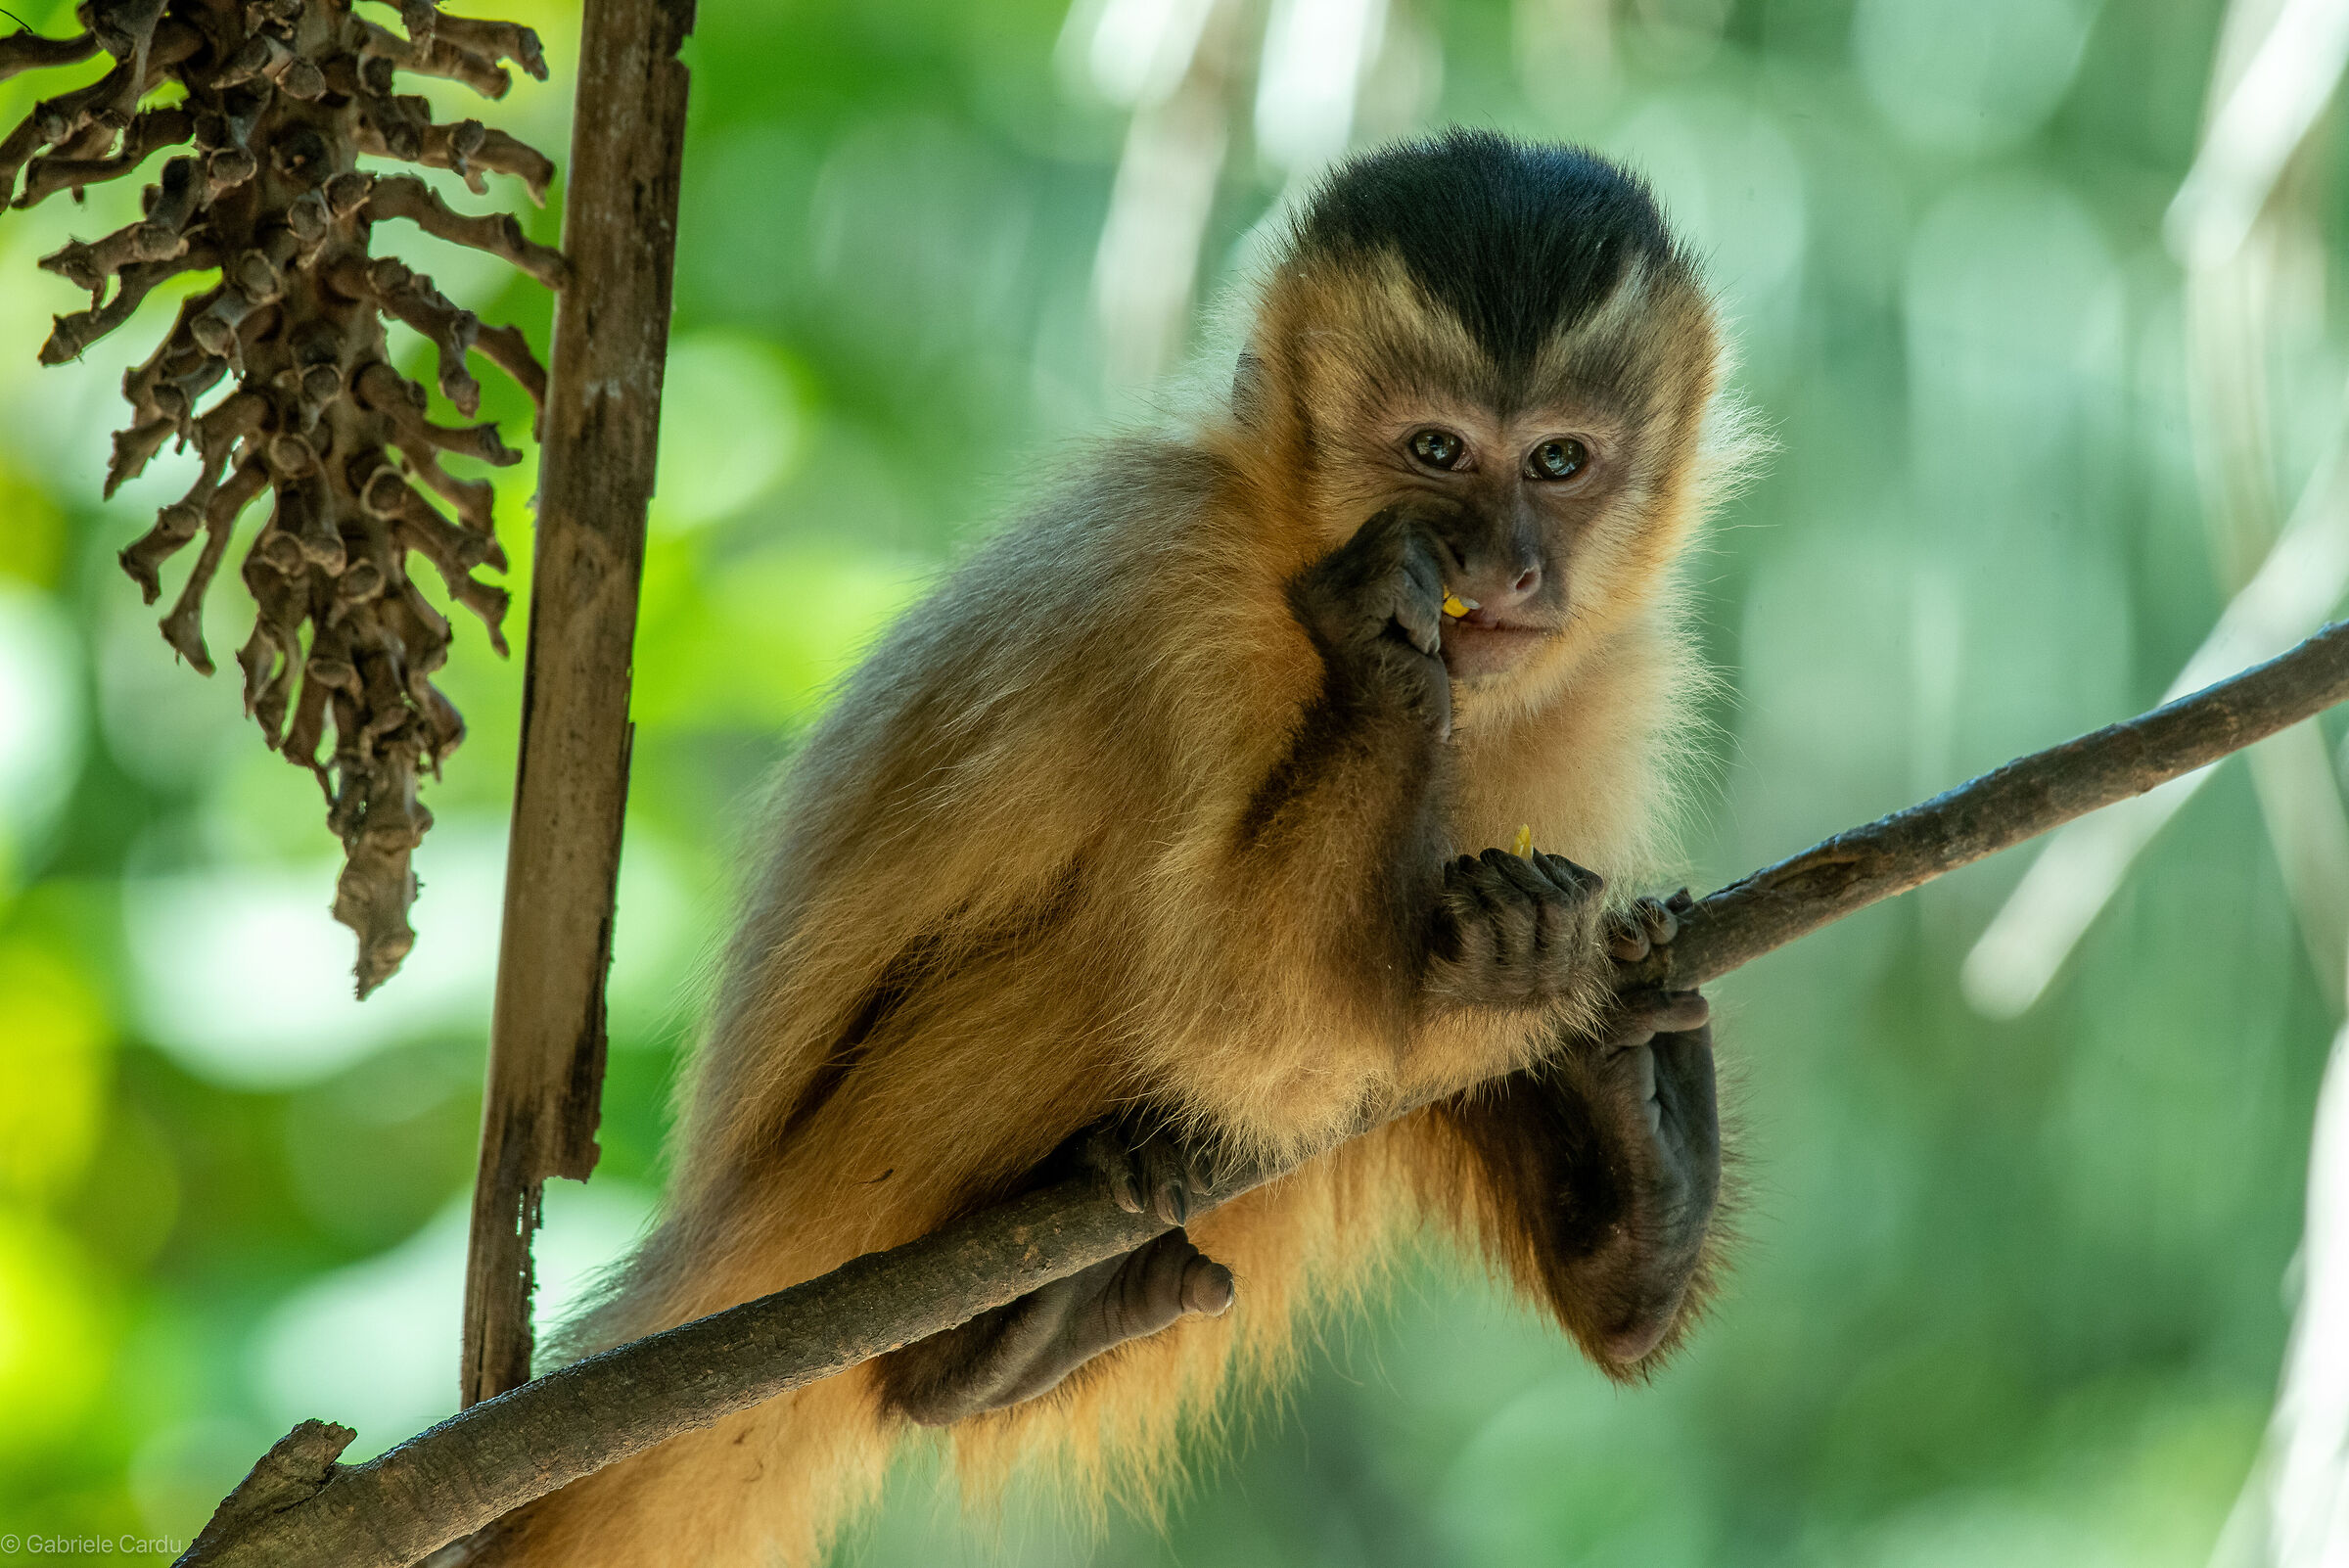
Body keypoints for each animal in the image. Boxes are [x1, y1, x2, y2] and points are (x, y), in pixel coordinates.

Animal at [467, 129, 1750, 1567]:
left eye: (1560, 462)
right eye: (1436, 448)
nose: (1504, 569)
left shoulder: (1614, 683)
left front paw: (1542, 971)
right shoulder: (1169, 591)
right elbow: (1259, 1024)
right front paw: (1385, 659)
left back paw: (1632, 1207)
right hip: (846, 1179)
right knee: (1139, 952)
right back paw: (998, 1318)